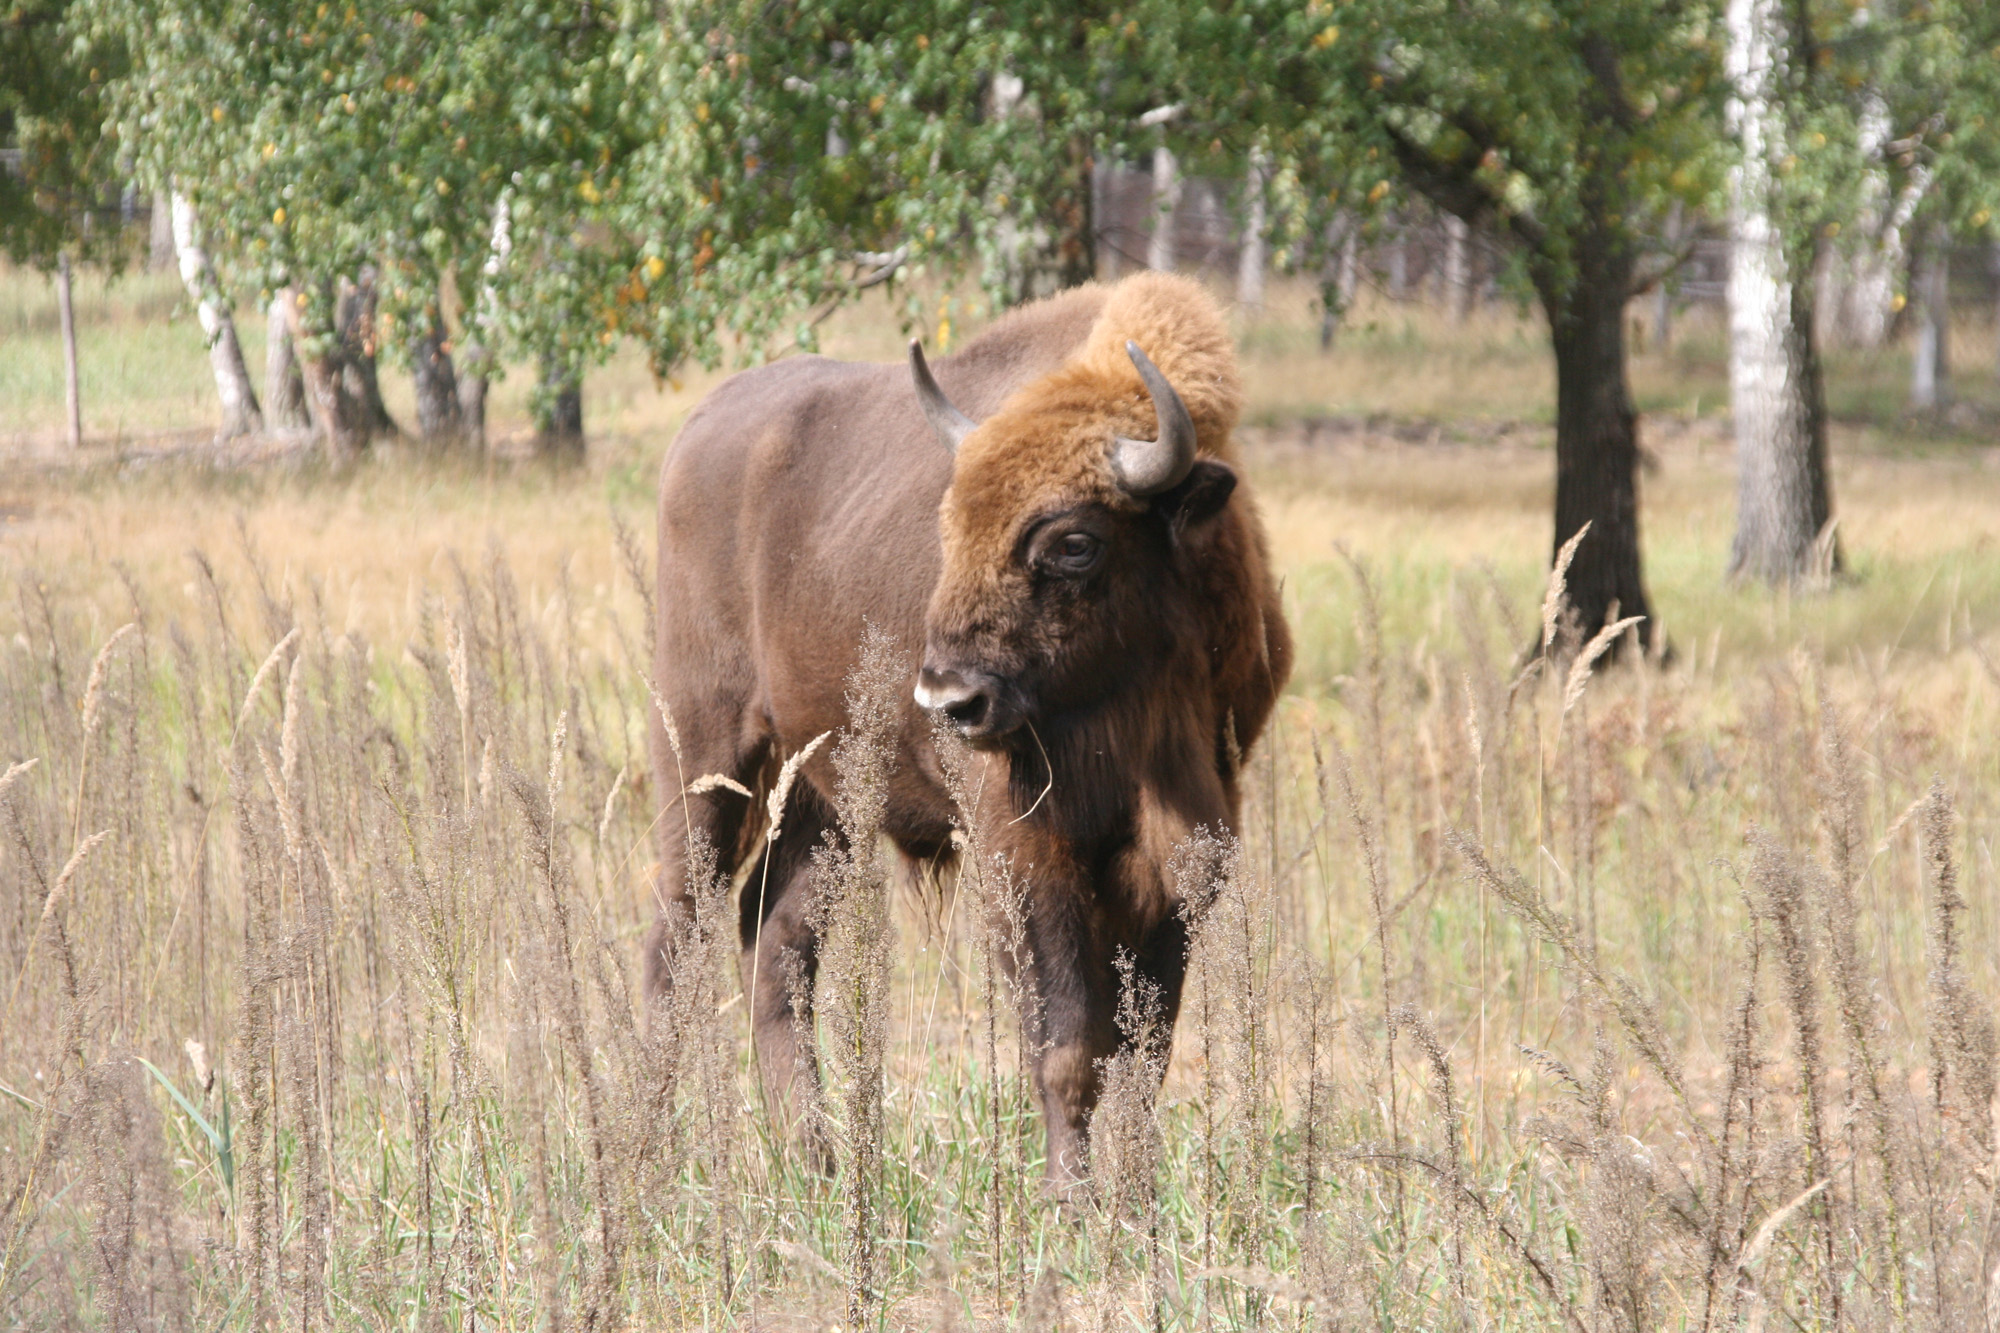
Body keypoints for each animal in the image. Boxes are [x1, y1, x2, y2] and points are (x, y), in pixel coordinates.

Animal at [644, 272, 1296, 1184]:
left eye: (1074, 542)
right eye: (949, 523)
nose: (949, 699)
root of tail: (701, 428)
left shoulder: (1192, 850)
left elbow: (1145, 1052)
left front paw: (1131, 1195)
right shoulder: (1024, 850)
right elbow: (1067, 1044)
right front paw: (1069, 1198)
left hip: (827, 794)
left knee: (772, 937)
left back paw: (816, 1161)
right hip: (707, 750)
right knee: (678, 928)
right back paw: (646, 1153)